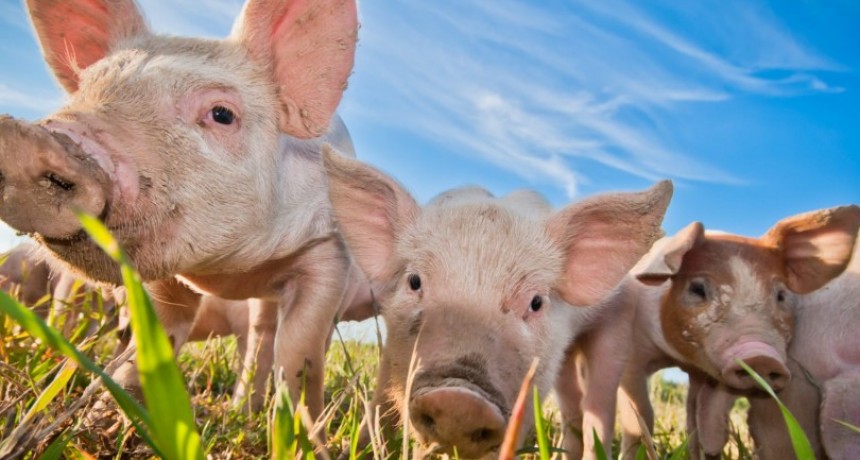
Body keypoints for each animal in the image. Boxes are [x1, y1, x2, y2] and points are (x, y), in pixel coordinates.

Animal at [0, 0, 370, 419]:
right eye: (85, 89)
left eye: (222, 114)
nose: (31, 140)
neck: (229, 273)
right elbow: (158, 332)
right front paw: (115, 410)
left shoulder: (329, 252)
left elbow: (299, 353)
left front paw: (305, 424)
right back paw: (242, 410)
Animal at [322, 149, 672, 458]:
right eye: (415, 281)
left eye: (536, 302)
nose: (459, 400)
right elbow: (381, 402)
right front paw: (354, 449)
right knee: (573, 405)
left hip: (618, 328)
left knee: (600, 406)